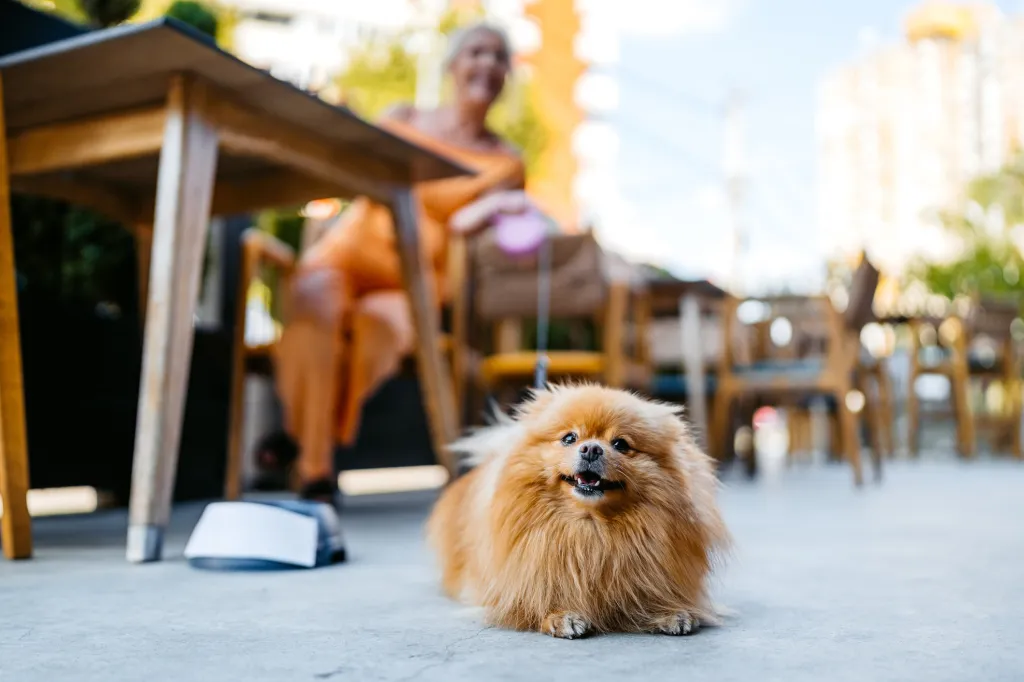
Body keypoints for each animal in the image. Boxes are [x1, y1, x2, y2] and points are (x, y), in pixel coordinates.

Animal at [428, 382, 733, 638]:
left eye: (621, 444)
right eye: (569, 438)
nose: (591, 449)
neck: (590, 527)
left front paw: (668, 613)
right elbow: (535, 600)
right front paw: (561, 616)